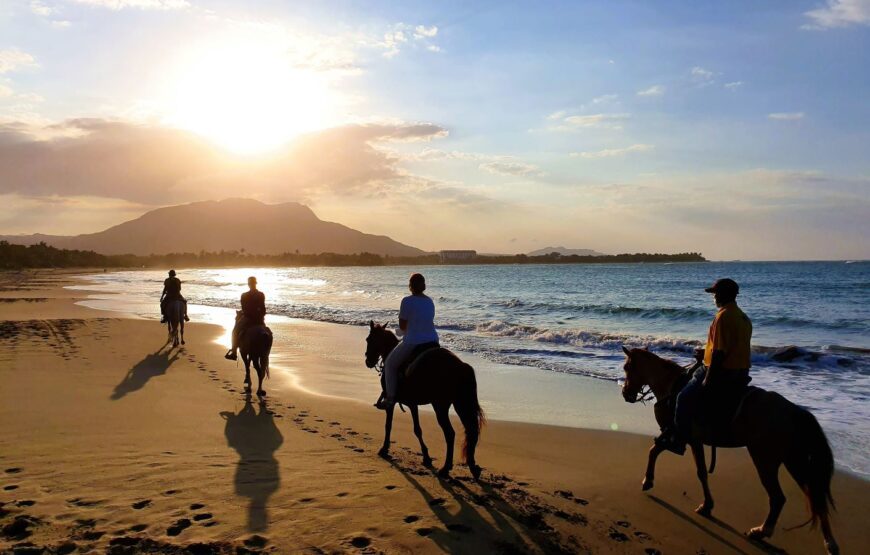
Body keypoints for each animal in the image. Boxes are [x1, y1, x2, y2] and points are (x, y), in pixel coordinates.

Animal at [364, 324, 488, 480]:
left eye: (369, 339)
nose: (368, 361)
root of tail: (461, 366)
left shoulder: (392, 402)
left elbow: (389, 425)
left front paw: (384, 448)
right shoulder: (413, 404)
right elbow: (418, 429)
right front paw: (426, 456)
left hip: (440, 406)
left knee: (450, 433)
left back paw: (445, 468)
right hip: (461, 404)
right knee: (470, 431)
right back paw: (473, 468)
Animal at [624, 348, 840, 555]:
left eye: (627, 368)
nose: (626, 394)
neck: (672, 386)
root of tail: (794, 410)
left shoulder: (680, 436)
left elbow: (656, 452)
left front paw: (648, 481)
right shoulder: (695, 441)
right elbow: (700, 472)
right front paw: (707, 506)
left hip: (765, 459)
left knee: (778, 497)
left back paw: (762, 531)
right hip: (795, 461)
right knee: (815, 497)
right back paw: (830, 544)